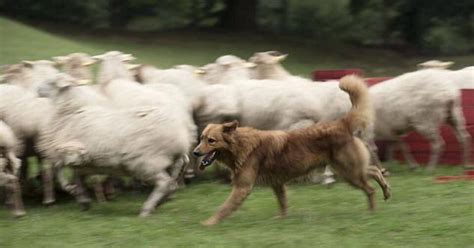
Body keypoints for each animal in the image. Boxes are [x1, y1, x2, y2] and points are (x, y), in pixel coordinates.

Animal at [193, 74, 392, 226]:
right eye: (201, 138)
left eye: (211, 141)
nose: (195, 153)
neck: (241, 145)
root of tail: (341, 123)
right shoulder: (277, 183)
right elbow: (283, 203)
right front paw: (282, 219)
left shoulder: (242, 188)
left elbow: (224, 208)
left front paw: (209, 223)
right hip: (348, 170)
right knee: (373, 170)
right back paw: (386, 190)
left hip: (348, 172)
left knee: (369, 188)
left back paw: (371, 212)